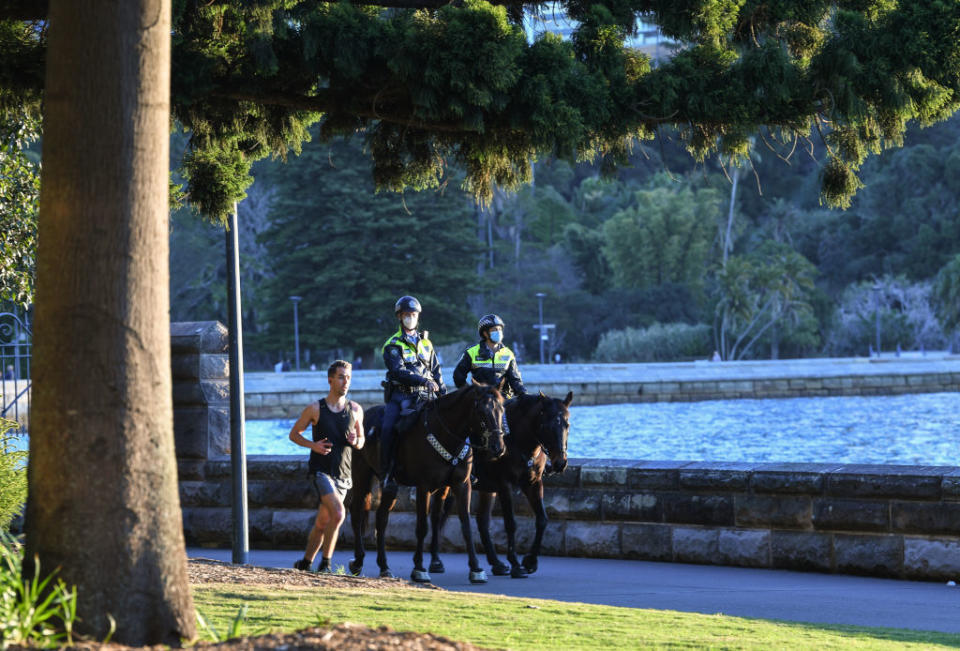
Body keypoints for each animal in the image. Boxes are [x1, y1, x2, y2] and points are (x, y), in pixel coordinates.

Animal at [348, 380, 506, 584]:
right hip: (361, 476)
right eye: (481, 411)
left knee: (381, 518)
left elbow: (465, 525)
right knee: (356, 513)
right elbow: (422, 526)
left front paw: (476, 568)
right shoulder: (423, 487)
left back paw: (384, 566)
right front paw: (419, 568)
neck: (447, 433)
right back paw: (358, 561)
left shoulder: (461, 485)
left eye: (501, 408)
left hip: (390, 488)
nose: (498, 447)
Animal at [432, 390, 572, 580]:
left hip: (486, 489)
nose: (560, 463)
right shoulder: (505, 484)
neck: (519, 440)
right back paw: (435, 561)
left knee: (482, 520)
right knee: (439, 515)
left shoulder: (533, 483)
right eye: (546, 425)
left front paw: (530, 561)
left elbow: (542, 519)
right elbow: (511, 523)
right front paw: (516, 563)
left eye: (567, 424)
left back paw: (496, 563)